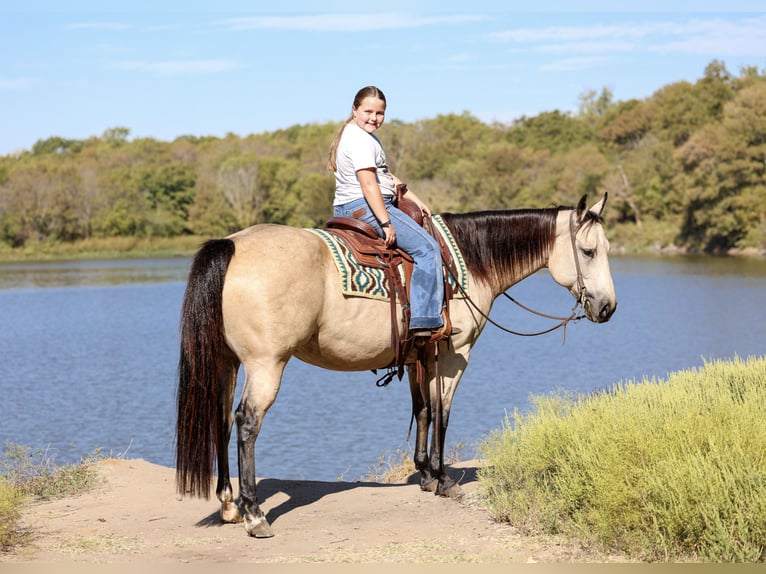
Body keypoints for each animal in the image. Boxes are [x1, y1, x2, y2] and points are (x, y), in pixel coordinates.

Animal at [175, 193, 617, 538]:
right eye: (589, 252)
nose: (608, 308)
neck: (466, 262)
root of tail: (232, 244)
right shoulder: (453, 356)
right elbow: (442, 411)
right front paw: (443, 479)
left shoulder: (418, 355)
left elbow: (421, 409)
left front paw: (424, 473)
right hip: (266, 364)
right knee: (247, 423)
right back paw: (254, 514)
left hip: (228, 362)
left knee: (220, 419)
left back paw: (229, 506)